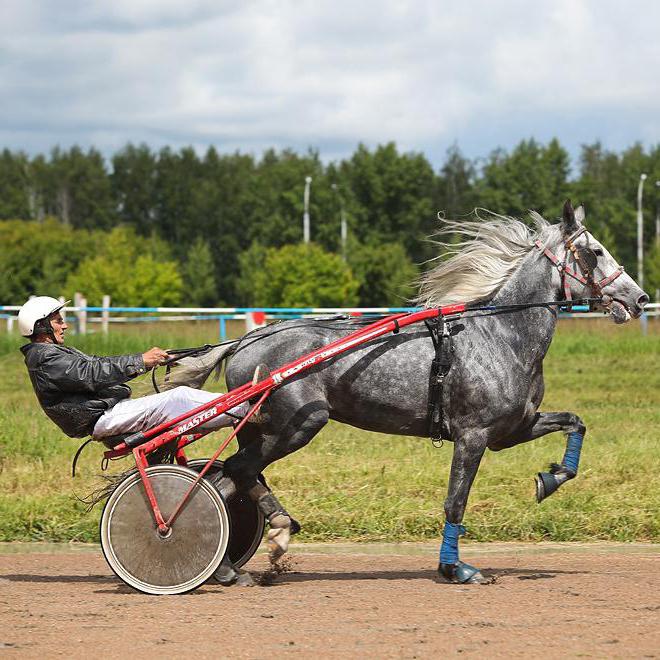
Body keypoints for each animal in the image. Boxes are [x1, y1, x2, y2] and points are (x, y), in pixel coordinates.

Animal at [183, 201, 648, 584]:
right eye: (595, 251)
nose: (640, 298)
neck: (501, 335)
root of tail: (247, 340)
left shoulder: (512, 429)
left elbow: (575, 424)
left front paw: (550, 479)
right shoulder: (473, 436)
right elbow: (455, 502)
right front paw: (455, 568)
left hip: (262, 429)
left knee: (228, 481)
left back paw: (229, 565)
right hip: (295, 426)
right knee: (237, 472)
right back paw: (263, 538)